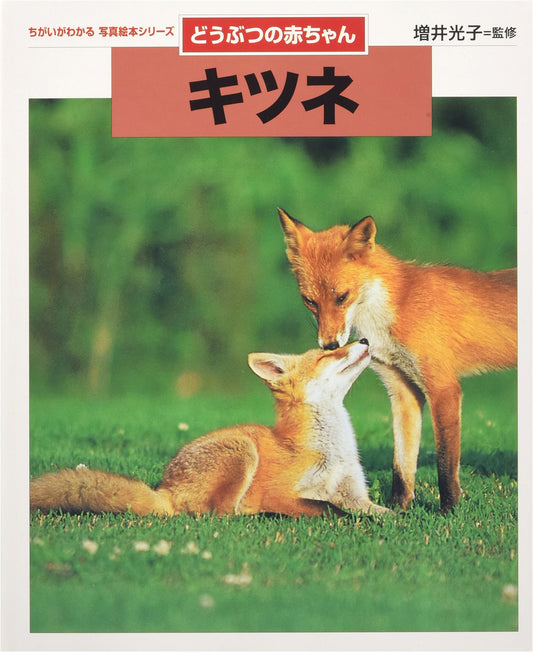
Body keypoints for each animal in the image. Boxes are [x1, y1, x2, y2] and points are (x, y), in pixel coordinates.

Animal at [30, 340, 388, 518]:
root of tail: (165, 489)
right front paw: (353, 523)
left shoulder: (354, 494)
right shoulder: (282, 493)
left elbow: (383, 512)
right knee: (218, 513)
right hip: (242, 450)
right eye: (329, 354)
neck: (332, 450)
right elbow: (330, 509)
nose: (365, 338)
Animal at [278, 207, 517, 513]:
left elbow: (445, 464)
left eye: (342, 297)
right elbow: (401, 465)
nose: (329, 345)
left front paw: (449, 512)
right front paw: (398, 510)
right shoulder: (402, 390)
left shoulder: (444, 389)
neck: (397, 308)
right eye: (309, 301)